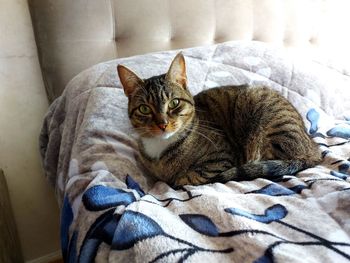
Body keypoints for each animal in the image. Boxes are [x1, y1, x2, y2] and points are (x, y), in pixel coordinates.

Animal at [116, 52, 322, 188]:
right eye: (144, 108)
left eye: (174, 103)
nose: (163, 124)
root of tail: (314, 149)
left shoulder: (222, 157)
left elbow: (188, 178)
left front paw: (176, 180)